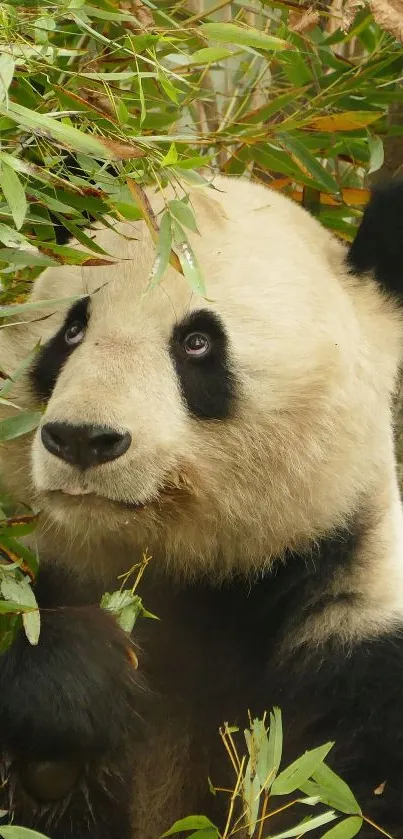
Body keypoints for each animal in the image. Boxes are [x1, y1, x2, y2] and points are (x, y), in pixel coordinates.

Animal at [0, 174, 403, 836]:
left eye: (197, 342)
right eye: (71, 331)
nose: (83, 438)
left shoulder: (355, 622)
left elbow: (346, 795)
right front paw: (77, 680)